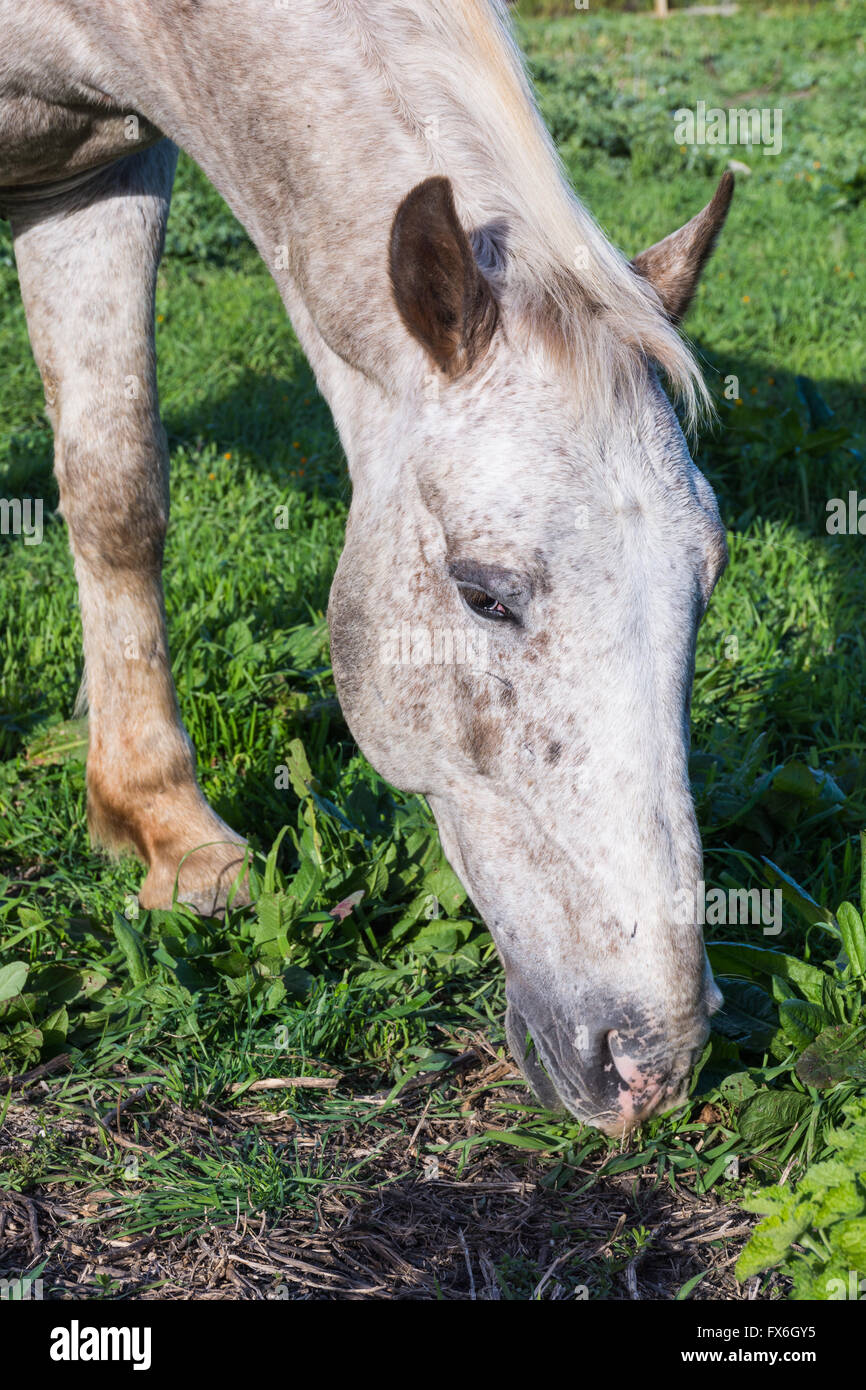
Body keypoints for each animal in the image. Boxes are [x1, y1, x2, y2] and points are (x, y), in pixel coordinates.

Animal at [0, 0, 733, 1134]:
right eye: (483, 594)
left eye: (706, 578)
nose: (653, 1057)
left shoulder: (95, 179)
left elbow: (118, 488)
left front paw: (169, 831)